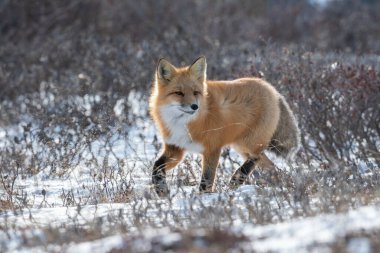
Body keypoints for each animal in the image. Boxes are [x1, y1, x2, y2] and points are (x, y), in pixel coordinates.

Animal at [148, 56, 300, 196]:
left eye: (196, 92)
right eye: (179, 93)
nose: (195, 106)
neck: (183, 123)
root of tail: (271, 89)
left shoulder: (212, 148)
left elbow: (207, 180)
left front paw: (204, 199)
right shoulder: (176, 148)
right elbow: (157, 167)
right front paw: (161, 190)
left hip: (249, 143)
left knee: (255, 158)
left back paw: (237, 179)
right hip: (242, 147)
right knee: (271, 166)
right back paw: (282, 183)